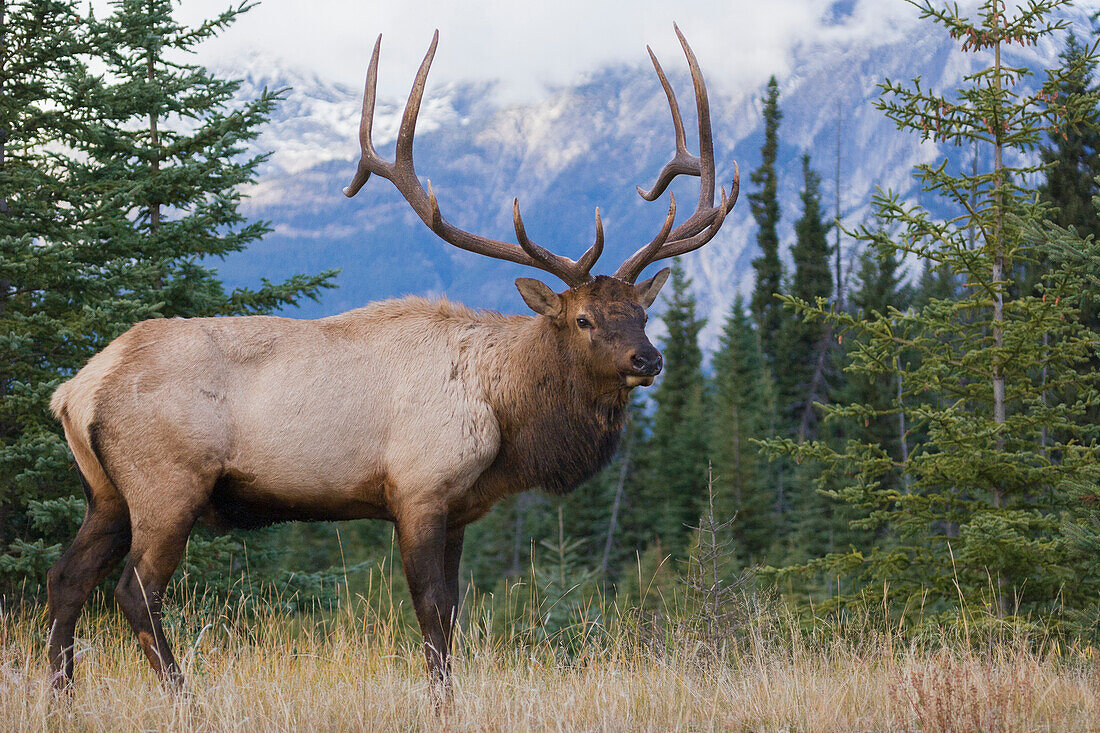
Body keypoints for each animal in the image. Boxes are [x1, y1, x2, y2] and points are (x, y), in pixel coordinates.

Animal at [47, 25, 743, 686]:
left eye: (642, 315)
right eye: (583, 319)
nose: (648, 361)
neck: (504, 415)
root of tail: (73, 390)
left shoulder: (461, 510)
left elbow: (455, 613)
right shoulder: (418, 490)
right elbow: (431, 613)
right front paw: (440, 701)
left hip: (105, 494)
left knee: (66, 580)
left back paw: (63, 693)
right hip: (168, 484)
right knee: (133, 593)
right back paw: (184, 694)